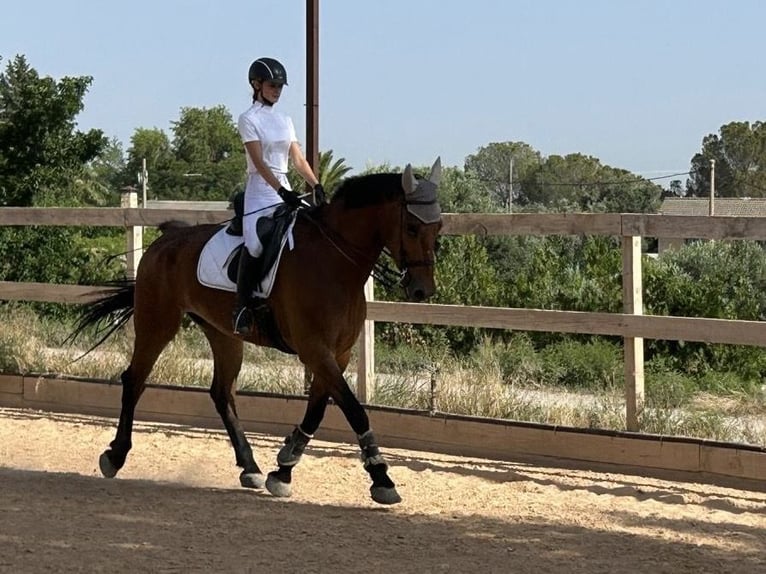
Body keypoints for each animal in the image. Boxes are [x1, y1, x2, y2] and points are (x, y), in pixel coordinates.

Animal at [70, 158, 443, 505]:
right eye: (412, 228)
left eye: (437, 229)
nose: (422, 290)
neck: (336, 261)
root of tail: (166, 239)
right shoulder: (315, 349)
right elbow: (353, 408)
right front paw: (382, 478)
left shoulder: (337, 354)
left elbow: (318, 410)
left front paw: (284, 467)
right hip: (157, 322)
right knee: (134, 380)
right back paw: (115, 456)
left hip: (223, 335)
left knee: (222, 393)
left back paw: (250, 467)